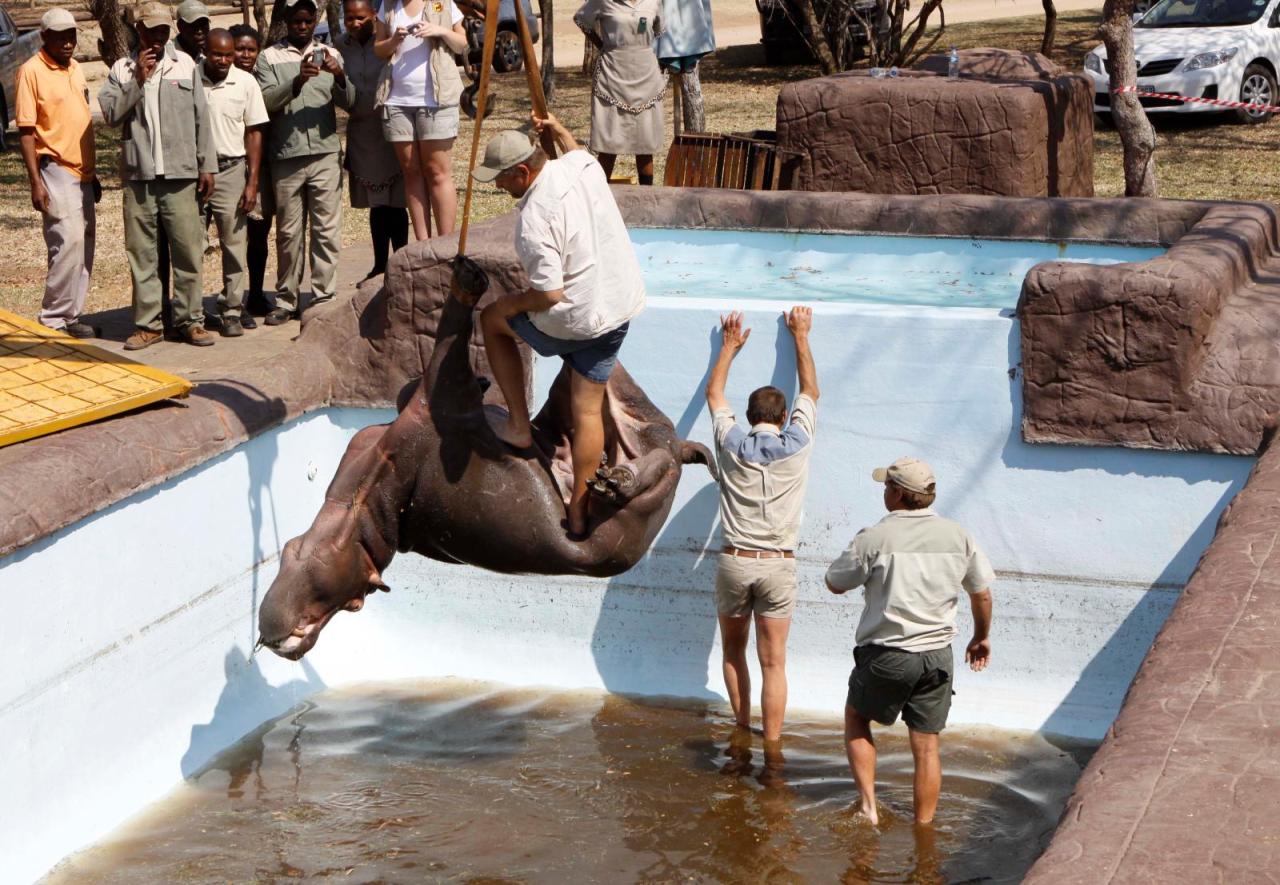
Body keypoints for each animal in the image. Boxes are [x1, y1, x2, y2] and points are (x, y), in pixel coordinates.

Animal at [257, 290, 721, 655]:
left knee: (652, 447)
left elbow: (439, 355)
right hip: (638, 485)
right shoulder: (441, 401)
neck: (368, 508)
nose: (293, 644)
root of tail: (680, 445)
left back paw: (614, 477)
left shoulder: (410, 417)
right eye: (358, 601)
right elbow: (446, 350)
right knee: (655, 456)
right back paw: (614, 480)